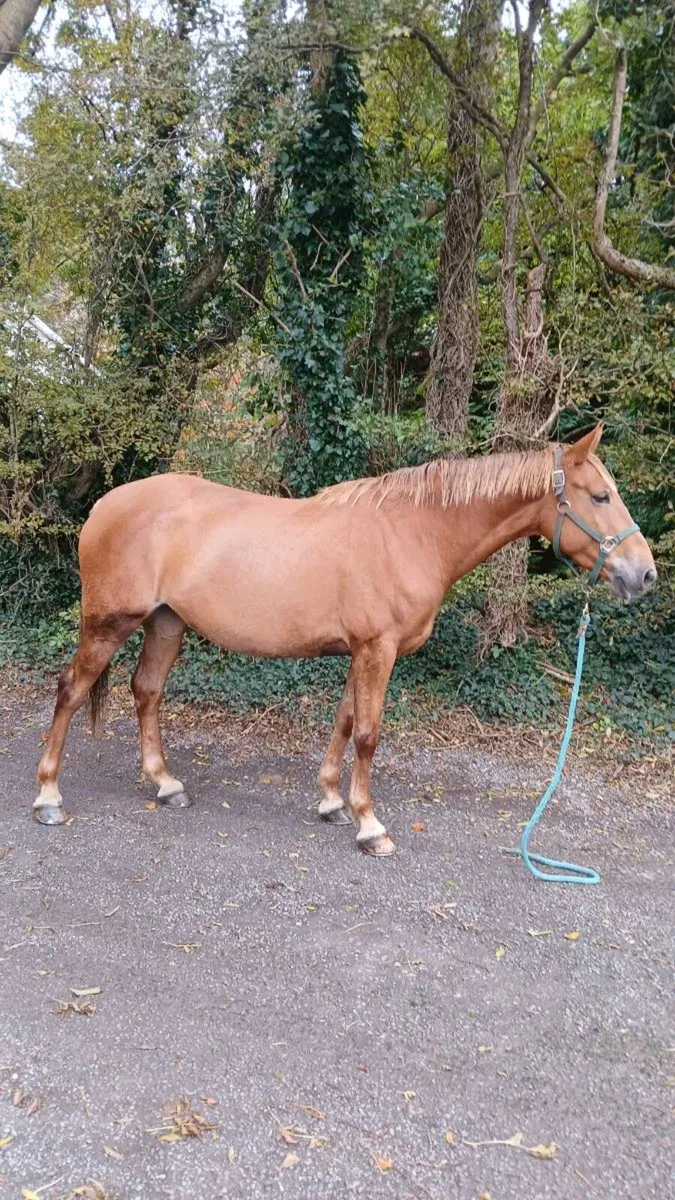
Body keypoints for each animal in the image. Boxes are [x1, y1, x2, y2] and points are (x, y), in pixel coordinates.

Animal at [33, 424, 656, 854]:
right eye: (600, 496)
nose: (644, 575)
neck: (413, 532)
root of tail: (104, 506)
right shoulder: (378, 649)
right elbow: (369, 735)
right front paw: (369, 825)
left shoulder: (362, 650)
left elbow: (344, 721)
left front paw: (332, 801)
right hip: (109, 624)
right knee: (70, 690)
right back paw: (48, 797)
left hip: (165, 622)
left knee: (146, 691)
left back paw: (165, 784)